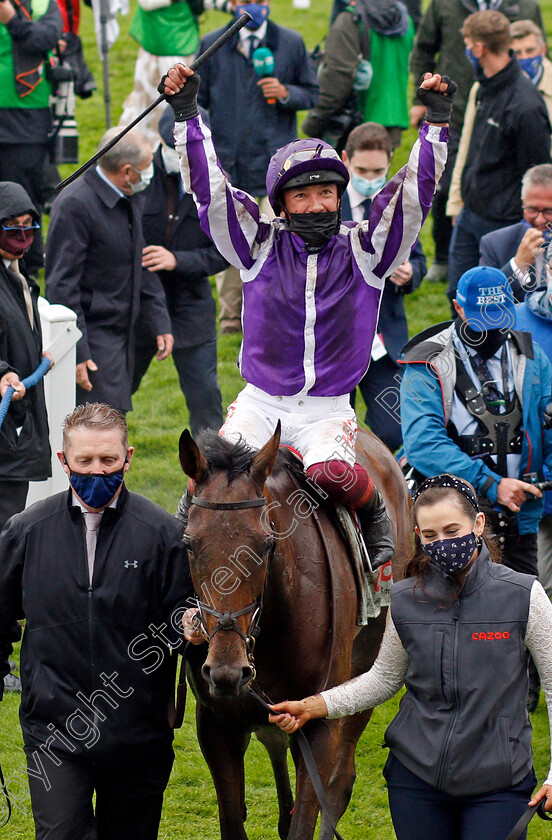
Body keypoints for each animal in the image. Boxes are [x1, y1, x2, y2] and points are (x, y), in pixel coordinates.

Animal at [179, 424, 412, 840]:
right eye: (190, 543)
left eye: (266, 544)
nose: (226, 671)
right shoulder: (216, 724)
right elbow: (233, 820)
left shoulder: (319, 721)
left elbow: (310, 810)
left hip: (367, 669)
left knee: (339, 781)